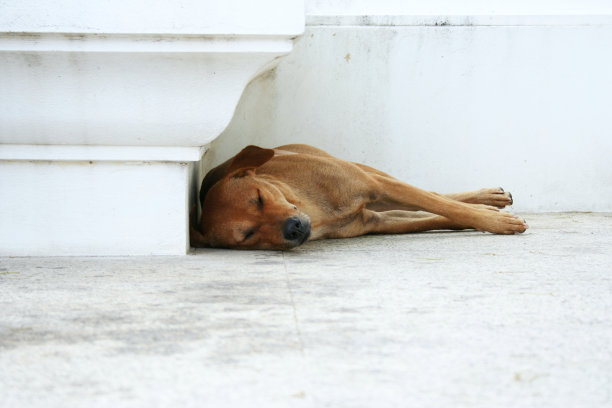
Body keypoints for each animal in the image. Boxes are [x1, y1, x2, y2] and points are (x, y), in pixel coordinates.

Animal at [190, 145, 524, 250]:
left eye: (259, 197)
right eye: (247, 235)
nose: (293, 228)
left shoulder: (376, 185)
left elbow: (439, 202)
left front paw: (494, 222)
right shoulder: (375, 221)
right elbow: (432, 217)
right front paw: (491, 219)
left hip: (368, 172)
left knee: (432, 195)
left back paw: (489, 198)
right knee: (422, 212)